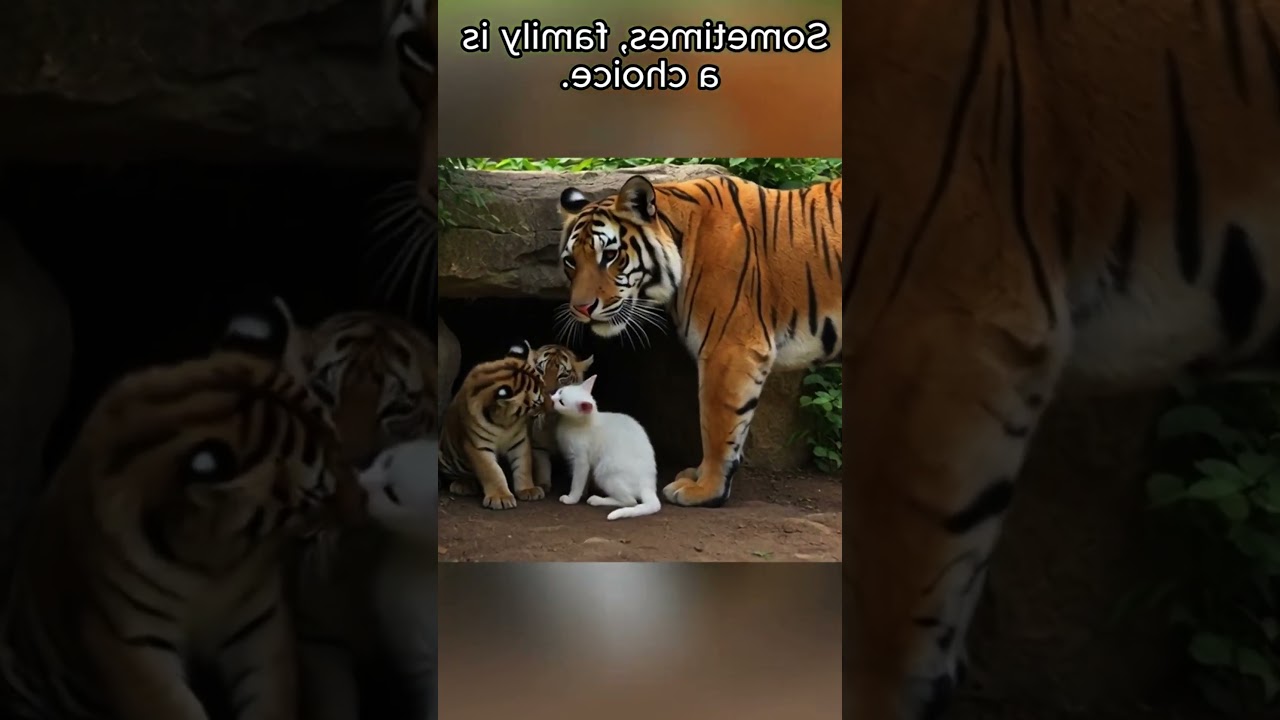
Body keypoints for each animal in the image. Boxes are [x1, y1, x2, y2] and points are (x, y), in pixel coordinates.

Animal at [0, 298, 366, 720]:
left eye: (339, 447)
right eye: (319, 494)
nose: (363, 507)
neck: (208, 563)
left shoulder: (259, 623)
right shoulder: (127, 641)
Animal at [439, 342, 547, 510]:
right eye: (538, 402)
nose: (551, 405)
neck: (505, 422)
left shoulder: (520, 442)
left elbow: (523, 465)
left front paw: (528, 490)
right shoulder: (478, 446)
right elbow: (492, 471)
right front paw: (501, 497)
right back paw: (464, 485)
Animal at [529, 344, 595, 491]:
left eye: (563, 375)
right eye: (540, 370)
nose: (546, 401)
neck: (553, 421)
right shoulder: (538, 446)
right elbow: (542, 466)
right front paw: (543, 485)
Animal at [557, 173, 843, 510]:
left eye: (610, 255)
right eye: (571, 261)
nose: (581, 309)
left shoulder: (728, 348)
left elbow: (716, 425)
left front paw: (706, 490)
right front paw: (698, 476)